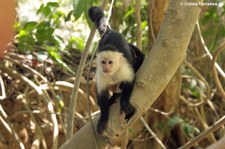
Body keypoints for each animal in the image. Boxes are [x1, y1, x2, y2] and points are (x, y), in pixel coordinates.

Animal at [88, 6, 144, 134]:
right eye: (103, 62)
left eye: (110, 62)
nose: (106, 68)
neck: (113, 72)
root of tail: (110, 31)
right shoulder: (100, 73)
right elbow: (102, 93)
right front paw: (103, 118)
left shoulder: (124, 67)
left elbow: (130, 80)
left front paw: (124, 103)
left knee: (137, 58)